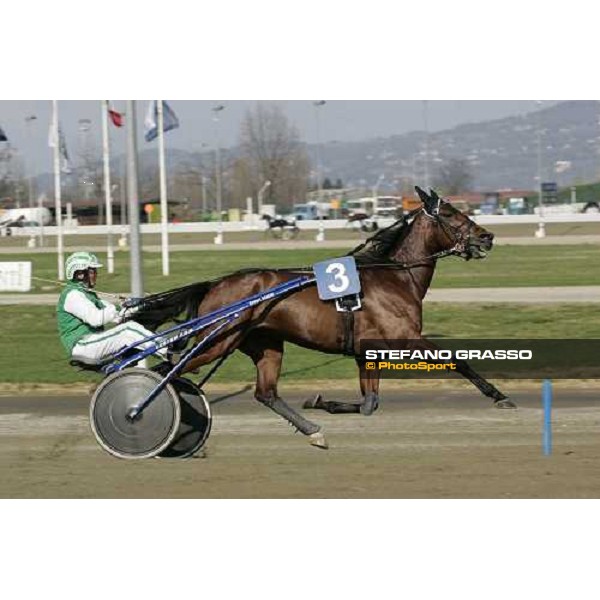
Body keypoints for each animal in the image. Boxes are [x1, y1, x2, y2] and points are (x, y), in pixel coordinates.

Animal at [131, 188, 516, 450]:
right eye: (450, 214)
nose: (487, 237)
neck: (395, 276)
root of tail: (215, 284)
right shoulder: (404, 337)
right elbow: (457, 361)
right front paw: (499, 396)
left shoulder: (366, 351)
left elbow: (369, 404)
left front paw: (320, 402)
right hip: (218, 341)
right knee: (167, 372)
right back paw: (141, 414)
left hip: (264, 344)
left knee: (265, 393)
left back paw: (312, 430)